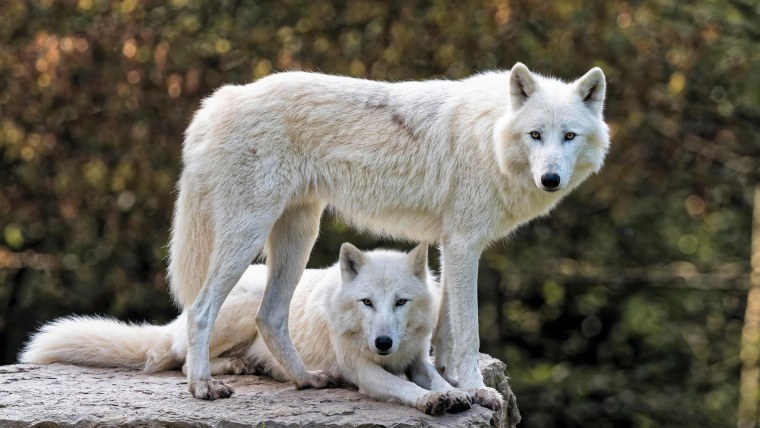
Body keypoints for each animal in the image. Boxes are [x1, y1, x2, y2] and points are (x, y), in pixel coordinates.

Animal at [21, 244, 482, 414]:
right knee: (180, 358)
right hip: (244, 307)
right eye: (367, 302)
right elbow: (404, 387)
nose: (383, 343)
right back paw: (232, 371)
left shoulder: (417, 359)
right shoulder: (364, 372)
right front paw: (433, 402)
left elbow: (436, 377)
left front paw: (464, 393)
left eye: (400, 302)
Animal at [170, 63, 609, 408]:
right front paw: (478, 389)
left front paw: (449, 381)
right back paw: (202, 385)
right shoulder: (464, 245)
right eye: (536, 135)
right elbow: (468, 330)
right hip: (248, 236)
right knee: (200, 308)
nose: (550, 179)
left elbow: (445, 331)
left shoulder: (451, 245)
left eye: (569, 136)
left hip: (299, 236)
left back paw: (306, 379)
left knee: (270, 316)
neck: (490, 138)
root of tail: (221, 99)